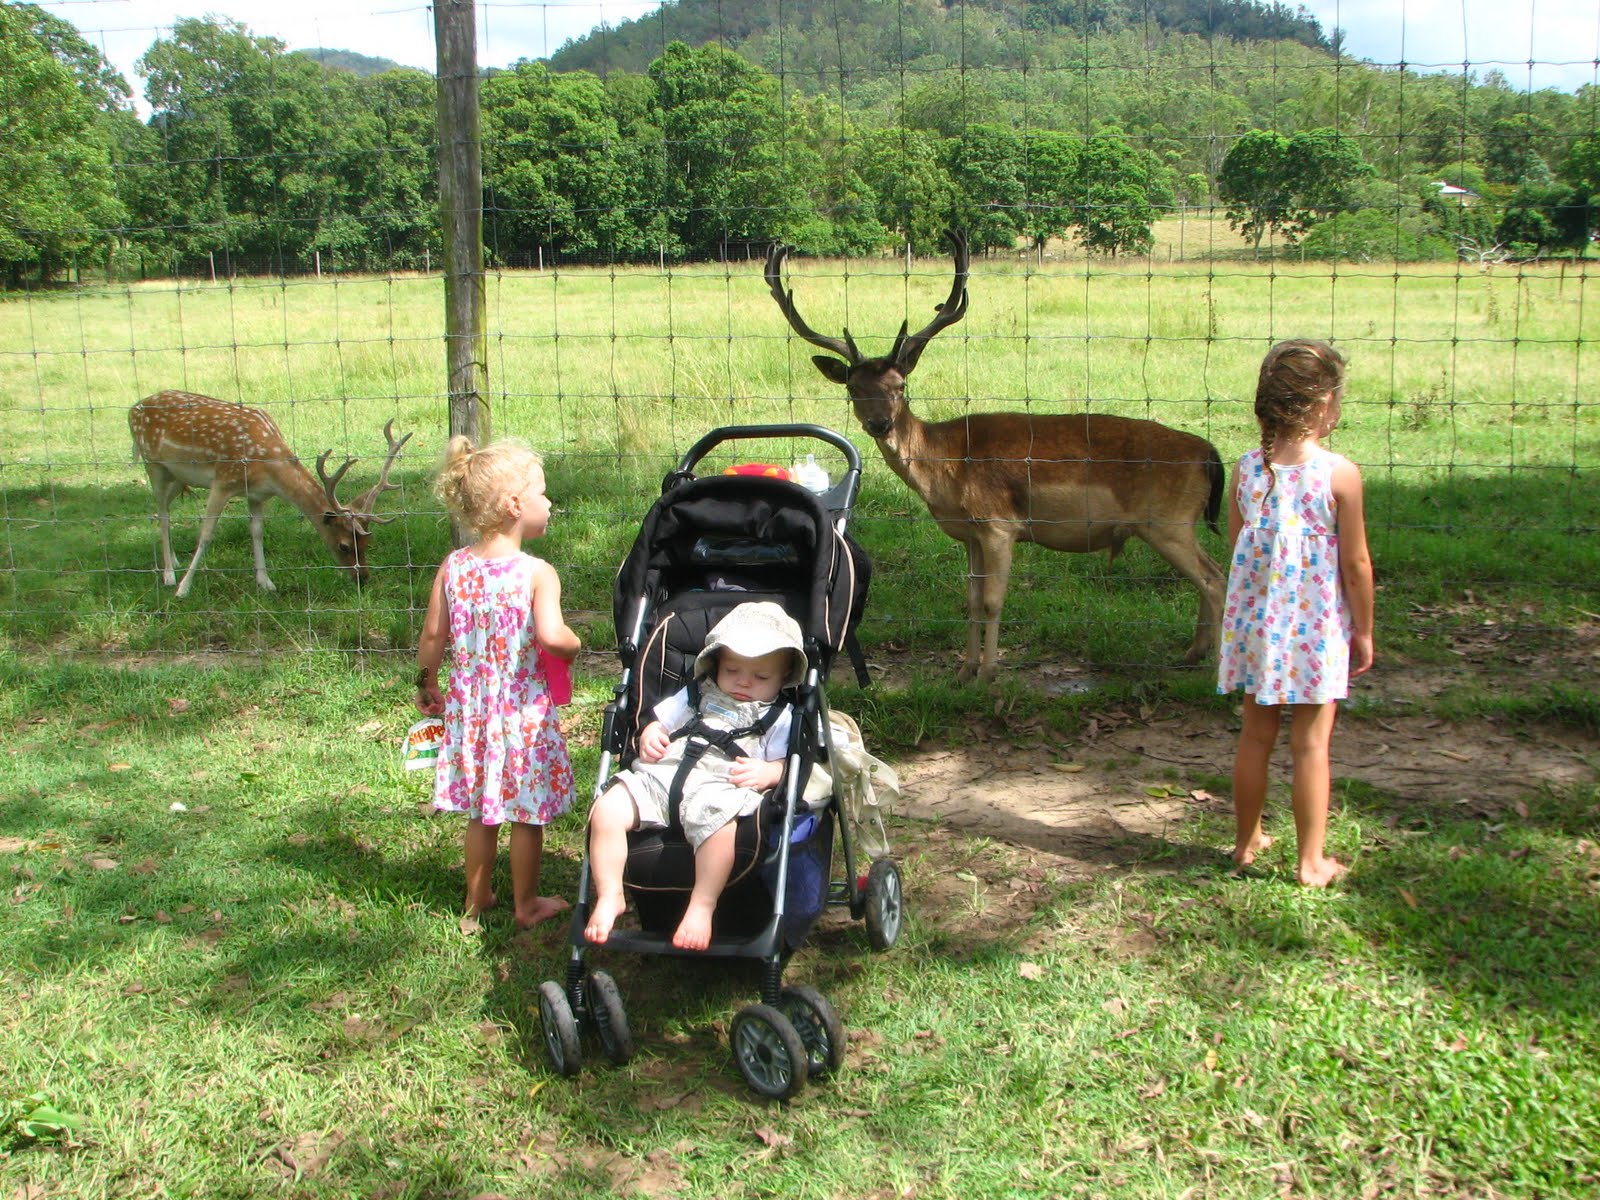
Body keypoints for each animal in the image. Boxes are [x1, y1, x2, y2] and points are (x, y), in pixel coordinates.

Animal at [129, 390, 413, 599]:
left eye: (367, 543)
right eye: (343, 545)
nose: (363, 578)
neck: (265, 467)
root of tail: (134, 407)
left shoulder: (257, 495)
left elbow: (257, 532)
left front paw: (266, 583)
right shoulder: (223, 481)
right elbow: (207, 534)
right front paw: (184, 588)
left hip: (178, 477)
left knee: (163, 509)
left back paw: (175, 560)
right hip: (153, 465)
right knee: (162, 512)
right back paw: (169, 575)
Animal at [765, 230, 1227, 682]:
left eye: (900, 385)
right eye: (852, 388)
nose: (879, 423)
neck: (947, 469)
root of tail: (1208, 454)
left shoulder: (999, 524)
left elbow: (992, 601)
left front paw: (989, 675)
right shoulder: (970, 534)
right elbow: (970, 600)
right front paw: (964, 671)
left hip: (1167, 520)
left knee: (1215, 578)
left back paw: (1215, 669)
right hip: (1174, 523)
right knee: (1210, 577)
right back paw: (1193, 654)